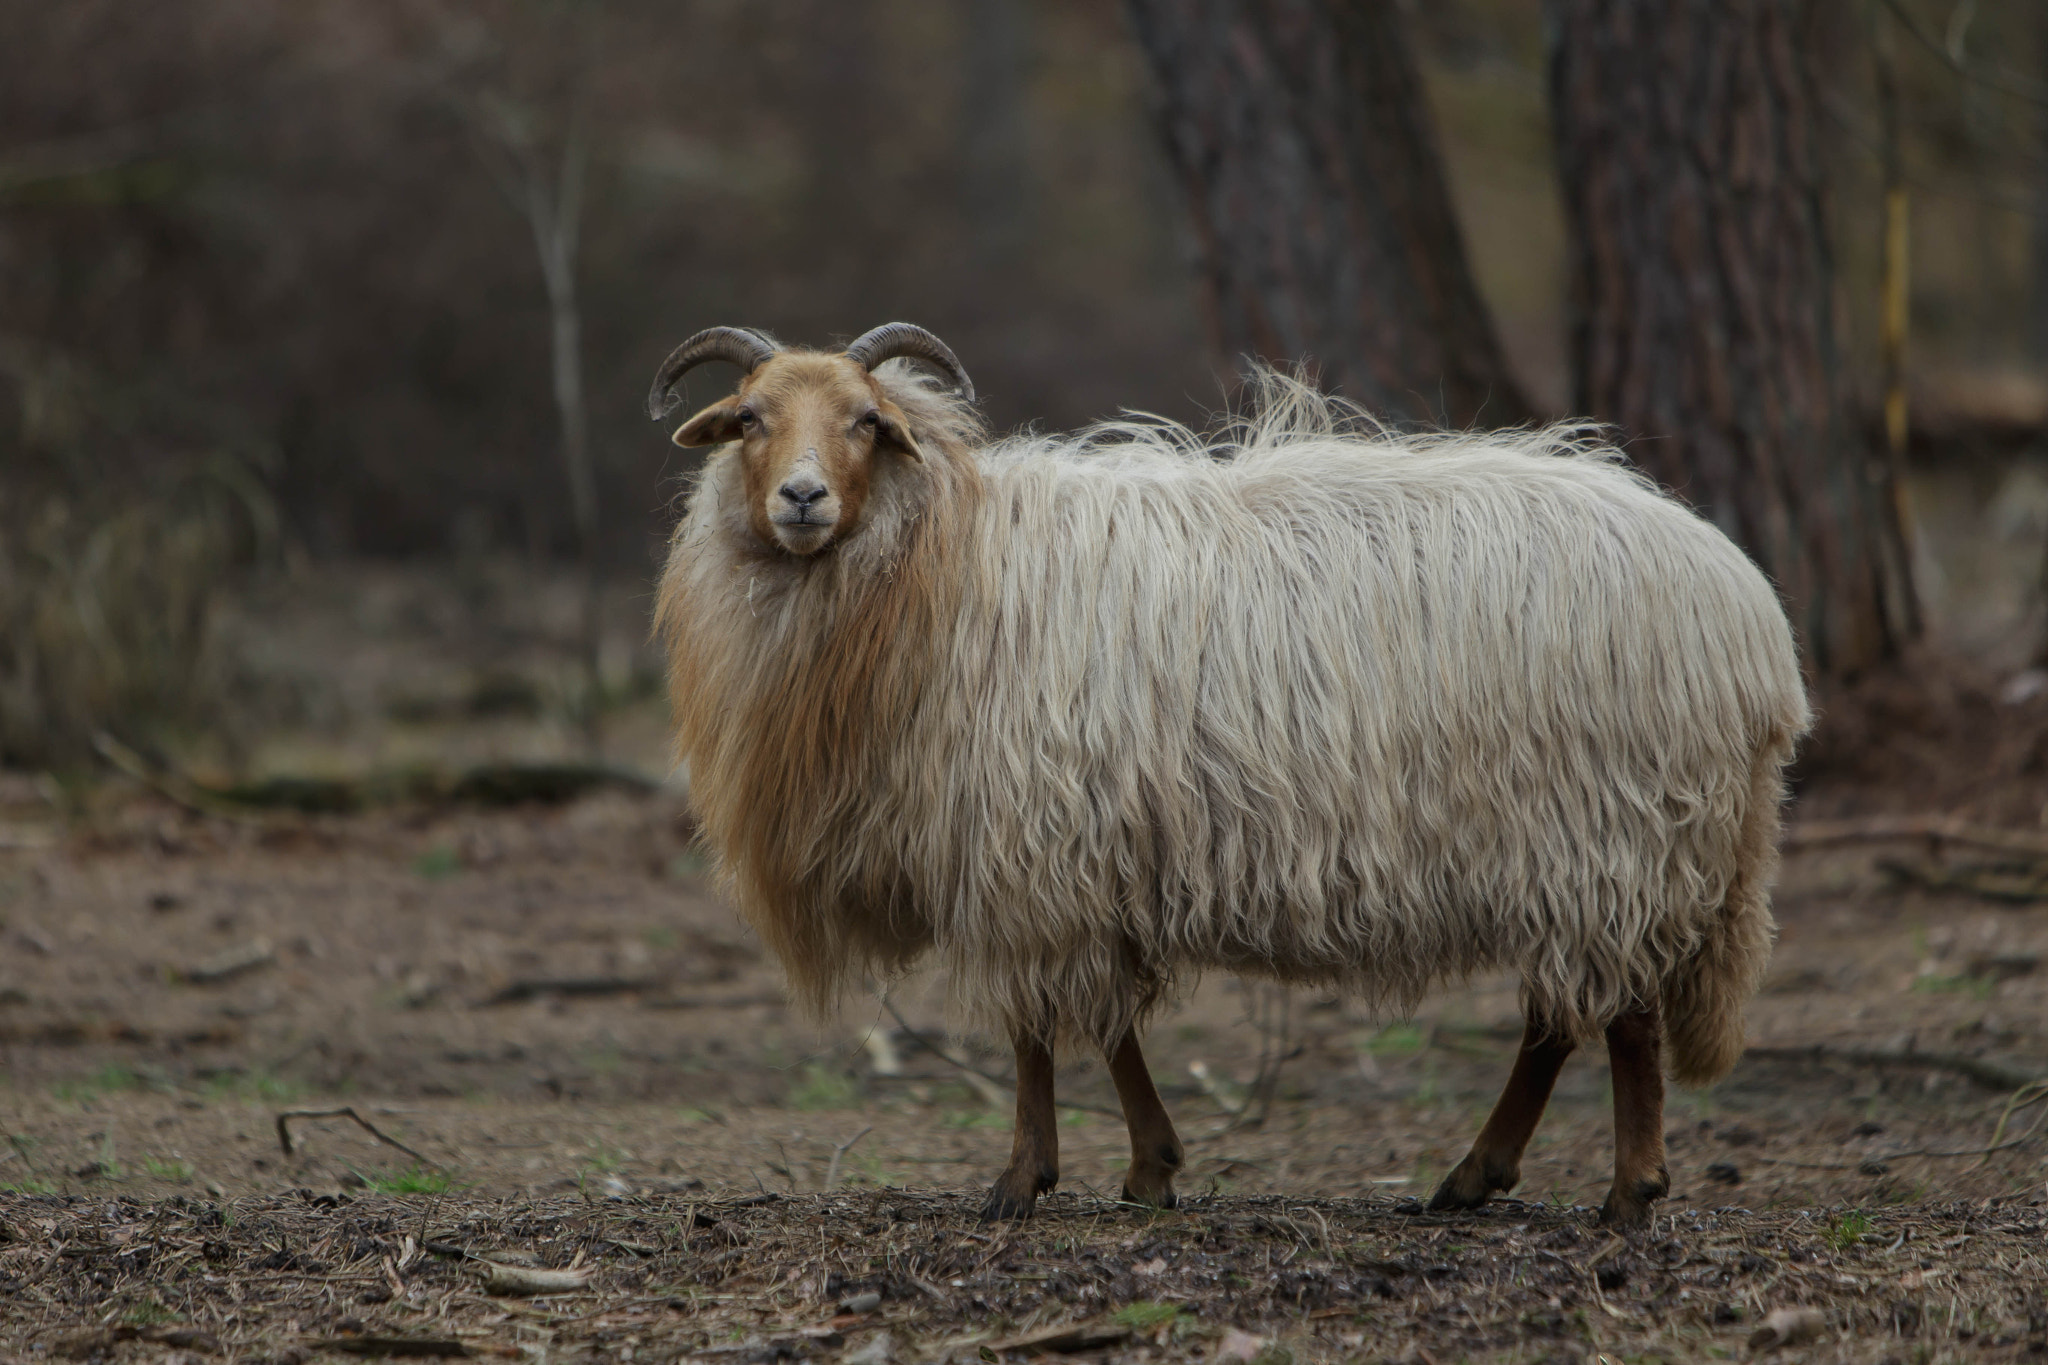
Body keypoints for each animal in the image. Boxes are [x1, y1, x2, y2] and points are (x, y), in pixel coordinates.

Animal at [643, 325, 1810, 1236]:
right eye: (748, 417)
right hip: (1589, 852)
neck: (935, 562)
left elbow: (1033, 1034)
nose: (800, 499)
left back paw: (1625, 1191)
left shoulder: (1027, 852)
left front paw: (1022, 1181)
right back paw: (1475, 1178)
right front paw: (1149, 1169)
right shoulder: (1080, 858)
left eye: (864, 421)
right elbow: (1108, 1025)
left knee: (1619, 1020)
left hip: (1615, 836)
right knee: (1558, 1021)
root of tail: (1750, 617)